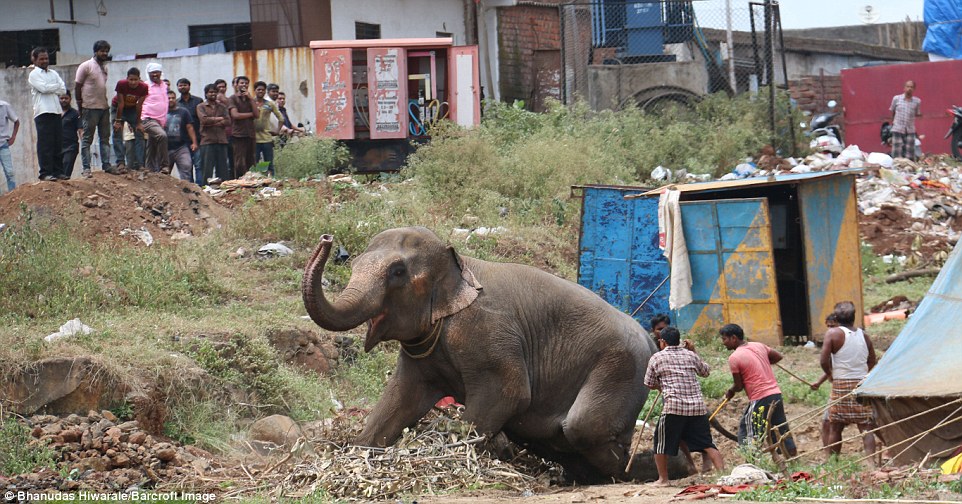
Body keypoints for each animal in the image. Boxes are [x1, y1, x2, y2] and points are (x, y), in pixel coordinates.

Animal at [304, 226, 688, 482]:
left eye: (398, 272)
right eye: (354, 263)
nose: (326, 240)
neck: (460, 264)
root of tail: (650, 339)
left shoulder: (487, 333)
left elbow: (510, 393)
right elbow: (400, 398)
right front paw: (361, 449)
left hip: (622, 368)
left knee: (583, 427)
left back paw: (657, 470)